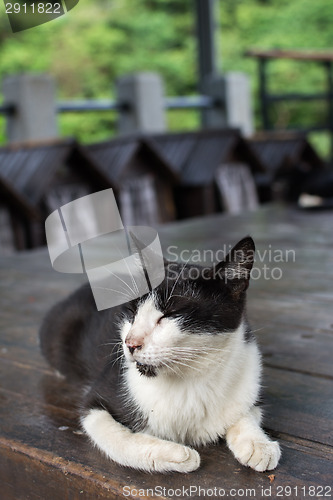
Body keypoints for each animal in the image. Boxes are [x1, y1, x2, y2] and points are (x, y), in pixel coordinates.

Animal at [39, 236, 280, 474]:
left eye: (170, 314)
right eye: (132, 312)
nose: (130, 343)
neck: (189, 381)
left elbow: (247, 410)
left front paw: (258, 444)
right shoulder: (97, 400)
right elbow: (116, 437)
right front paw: (177, 455)